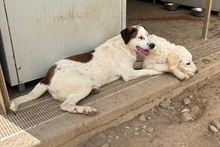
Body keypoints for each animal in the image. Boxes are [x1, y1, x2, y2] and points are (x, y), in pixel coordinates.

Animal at [10, 25, 162, 115]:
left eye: (148, 35)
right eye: (140, 37)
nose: (153, 45)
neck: (125, 46)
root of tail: (47, 76)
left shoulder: (132, 67)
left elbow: (141, 65)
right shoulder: (128, 74)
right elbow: (146, 70)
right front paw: (158, 71)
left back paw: (95, 91)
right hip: (84, 83)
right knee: (66, 105)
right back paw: (85, 109)